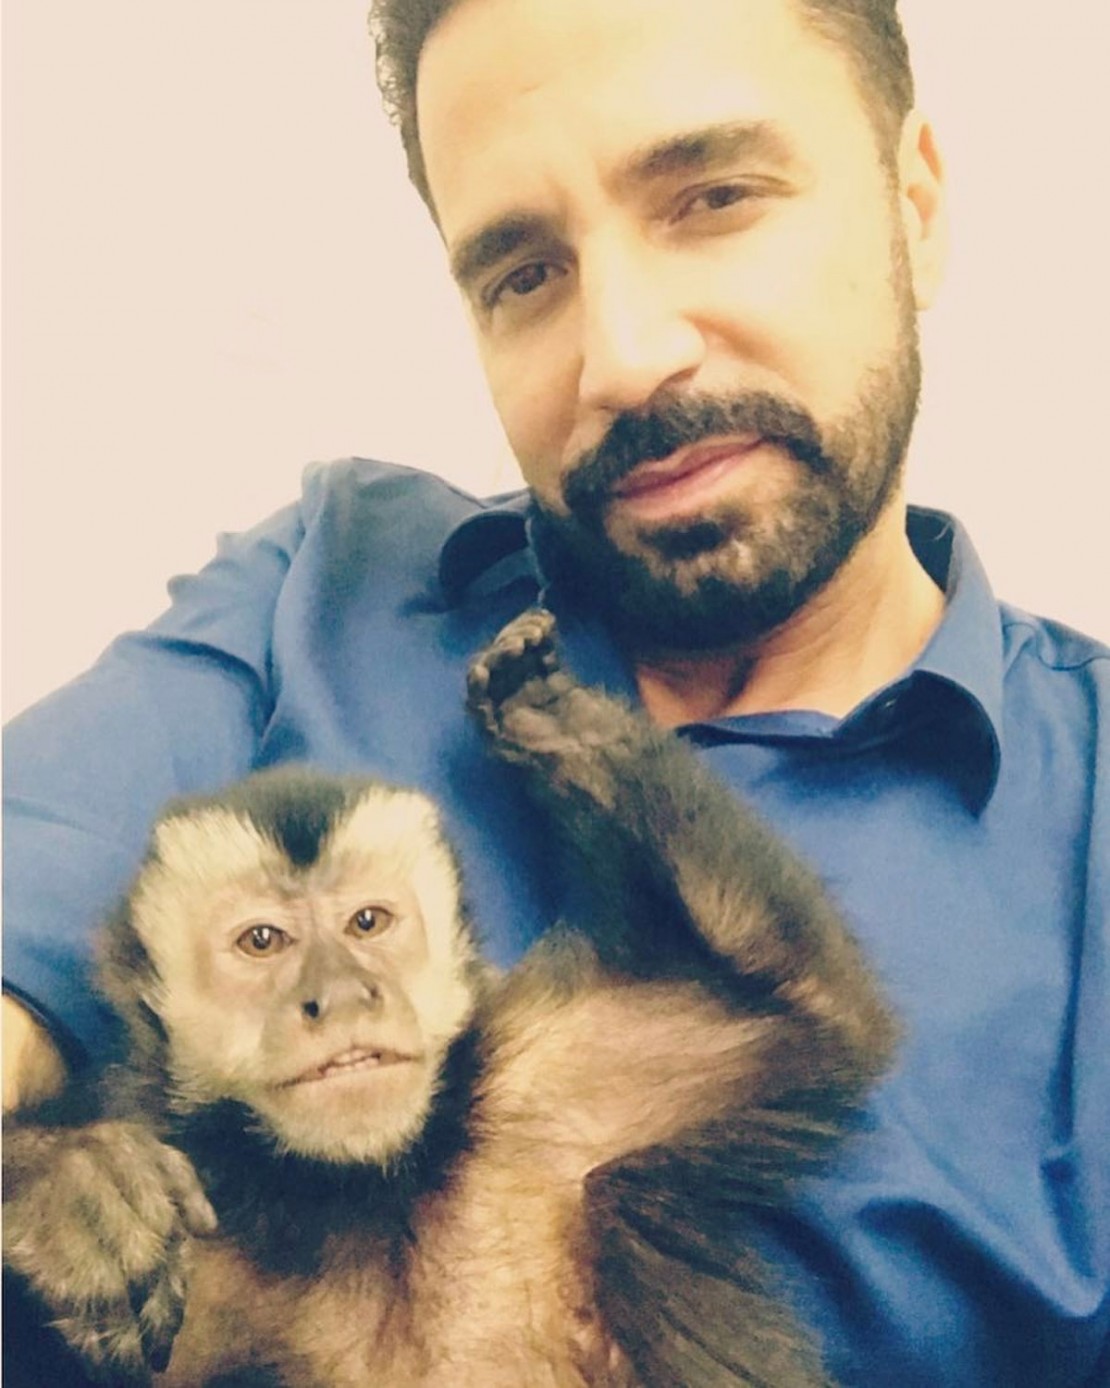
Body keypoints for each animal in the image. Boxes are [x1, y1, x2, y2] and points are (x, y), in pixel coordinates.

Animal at [3, 608, 898, 1388]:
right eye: (262, 941)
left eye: (368, 922)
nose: (341, 995)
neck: (361, 1189)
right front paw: (59, 1186)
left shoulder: (568, 1088)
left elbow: (804, 998)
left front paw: (553, 720)